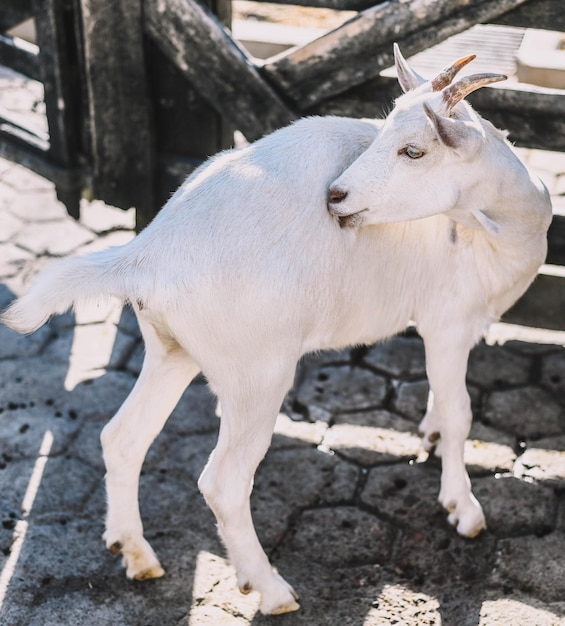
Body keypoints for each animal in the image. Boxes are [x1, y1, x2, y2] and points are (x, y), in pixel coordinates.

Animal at [1, 45, 552, 616]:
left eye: (413, 150)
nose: (336, 196)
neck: (500, 225)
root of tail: (146, 252)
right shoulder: (447, 322)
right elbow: (462, 412)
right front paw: (463, 507)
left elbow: (442, 404)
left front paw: (432, 434)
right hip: (255, 373)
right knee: (223, 481)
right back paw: (270, 589)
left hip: (172, 349)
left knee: (122, 437)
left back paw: (135, 553)